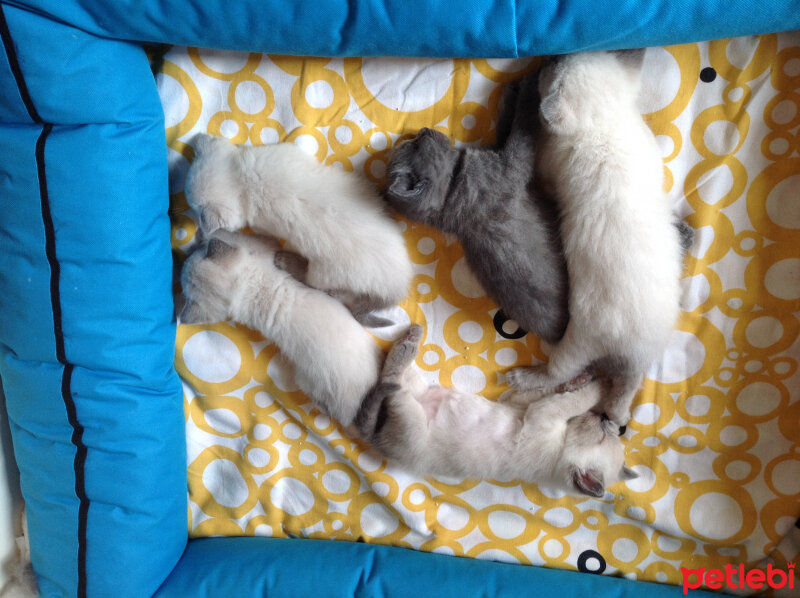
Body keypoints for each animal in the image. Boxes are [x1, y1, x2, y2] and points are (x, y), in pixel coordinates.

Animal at [358, 326, 636, 500]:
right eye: (607, 432)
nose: (604, 418)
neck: (561, 448)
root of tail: (377, 441)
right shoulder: (519, 403)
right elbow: (555, 392)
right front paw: (585, 380)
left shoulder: (541, 414)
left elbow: (573, 401)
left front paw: (600, 386)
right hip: (418, 389)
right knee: (397, 376)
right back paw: (409, 339)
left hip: (411, 422)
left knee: (393, 383)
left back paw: (407, 343)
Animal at [382, 69, 564, 344]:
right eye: (416, 144)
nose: (422, 129)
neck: (453, 188)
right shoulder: (512, 163)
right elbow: (522, 128)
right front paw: (530, 85)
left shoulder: (499, 154)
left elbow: (506, 128)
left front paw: (510, 93)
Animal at [510, 49, 684, 428]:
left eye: (552, 71)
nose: (548, 57)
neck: (607, 122)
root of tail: (632, 346)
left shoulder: (550, 162)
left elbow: (544, 173)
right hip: (643, 355)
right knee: (626, 388)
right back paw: (617, 411)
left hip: (581, 338)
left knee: (558, 370)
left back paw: (525, 376)